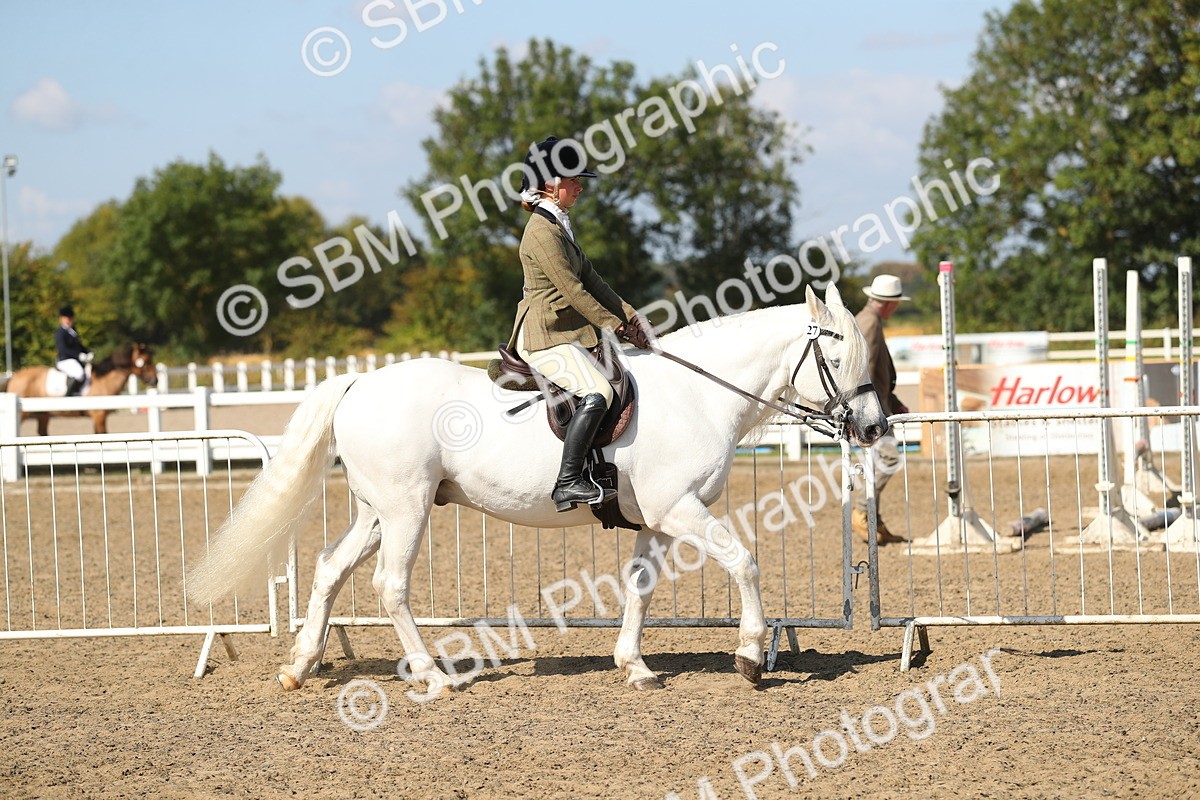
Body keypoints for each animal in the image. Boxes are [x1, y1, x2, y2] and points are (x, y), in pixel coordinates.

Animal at [3, 343, 159, 435]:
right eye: (145, 361)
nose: (155, 380)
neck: (103, 380)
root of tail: (14, 376)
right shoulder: (99, 415)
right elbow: (102, 434)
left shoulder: (99, 417)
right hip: (23, 414)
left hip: (43, 414)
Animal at [187, 285, 886, 694]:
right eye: (839, 356)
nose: (876, 427)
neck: (698, 395)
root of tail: (360, 383)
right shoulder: (679, 510)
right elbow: (745, 560)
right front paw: (747, 656)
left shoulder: (656, 521)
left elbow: (640, 589)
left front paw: (635, 666)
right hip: (406, 509)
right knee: (390, 586)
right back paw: (434, 678)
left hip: (376, 512)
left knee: (331, 570)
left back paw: (299, 665)